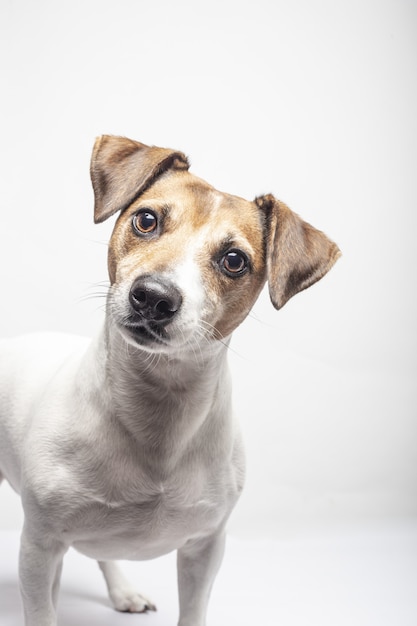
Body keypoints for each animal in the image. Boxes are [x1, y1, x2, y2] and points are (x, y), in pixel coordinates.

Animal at [0, 136, 338, 624]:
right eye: (146, 220)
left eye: (234, 260)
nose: (154, 297)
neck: (159, 406)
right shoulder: (40, 547)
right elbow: (41, 608)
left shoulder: (205, 549)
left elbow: (192, 608)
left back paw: (123, 591)